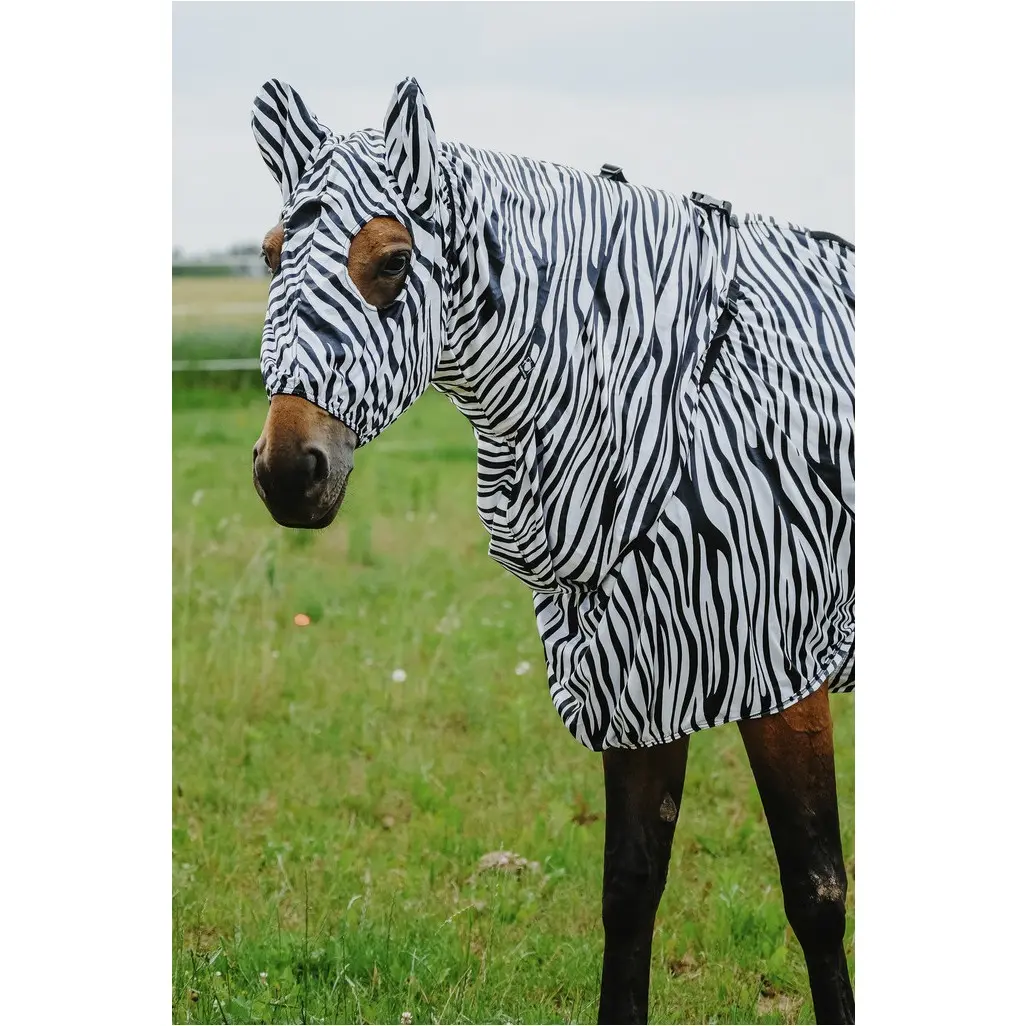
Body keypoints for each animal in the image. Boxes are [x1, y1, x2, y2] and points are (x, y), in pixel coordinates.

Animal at [250, 77, 854, 1024]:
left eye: (393, 262)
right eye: (273, 255)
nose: (286, 470)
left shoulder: (781, 668)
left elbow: (815, 892)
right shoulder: (639, 672)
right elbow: (630, 889)